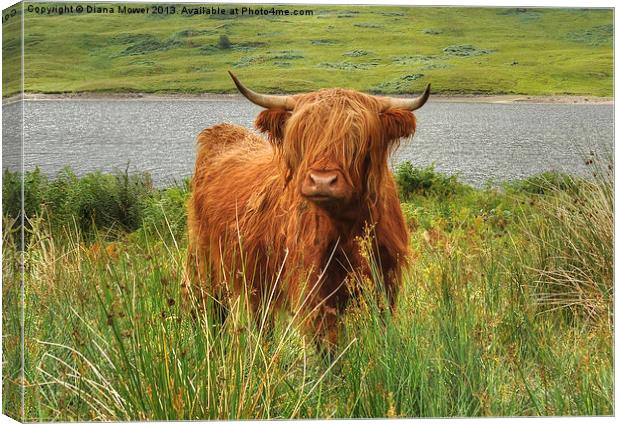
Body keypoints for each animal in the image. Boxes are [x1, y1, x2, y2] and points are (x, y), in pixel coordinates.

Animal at [184, 73, 432, 352]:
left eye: (357, 139)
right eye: (304, 135)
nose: (322, 181)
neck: (346, 228)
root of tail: (222, 132)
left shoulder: (386, 281)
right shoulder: (313, 289)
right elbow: (328, 346)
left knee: (261, 320)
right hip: (205, 262)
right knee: (211, 307)